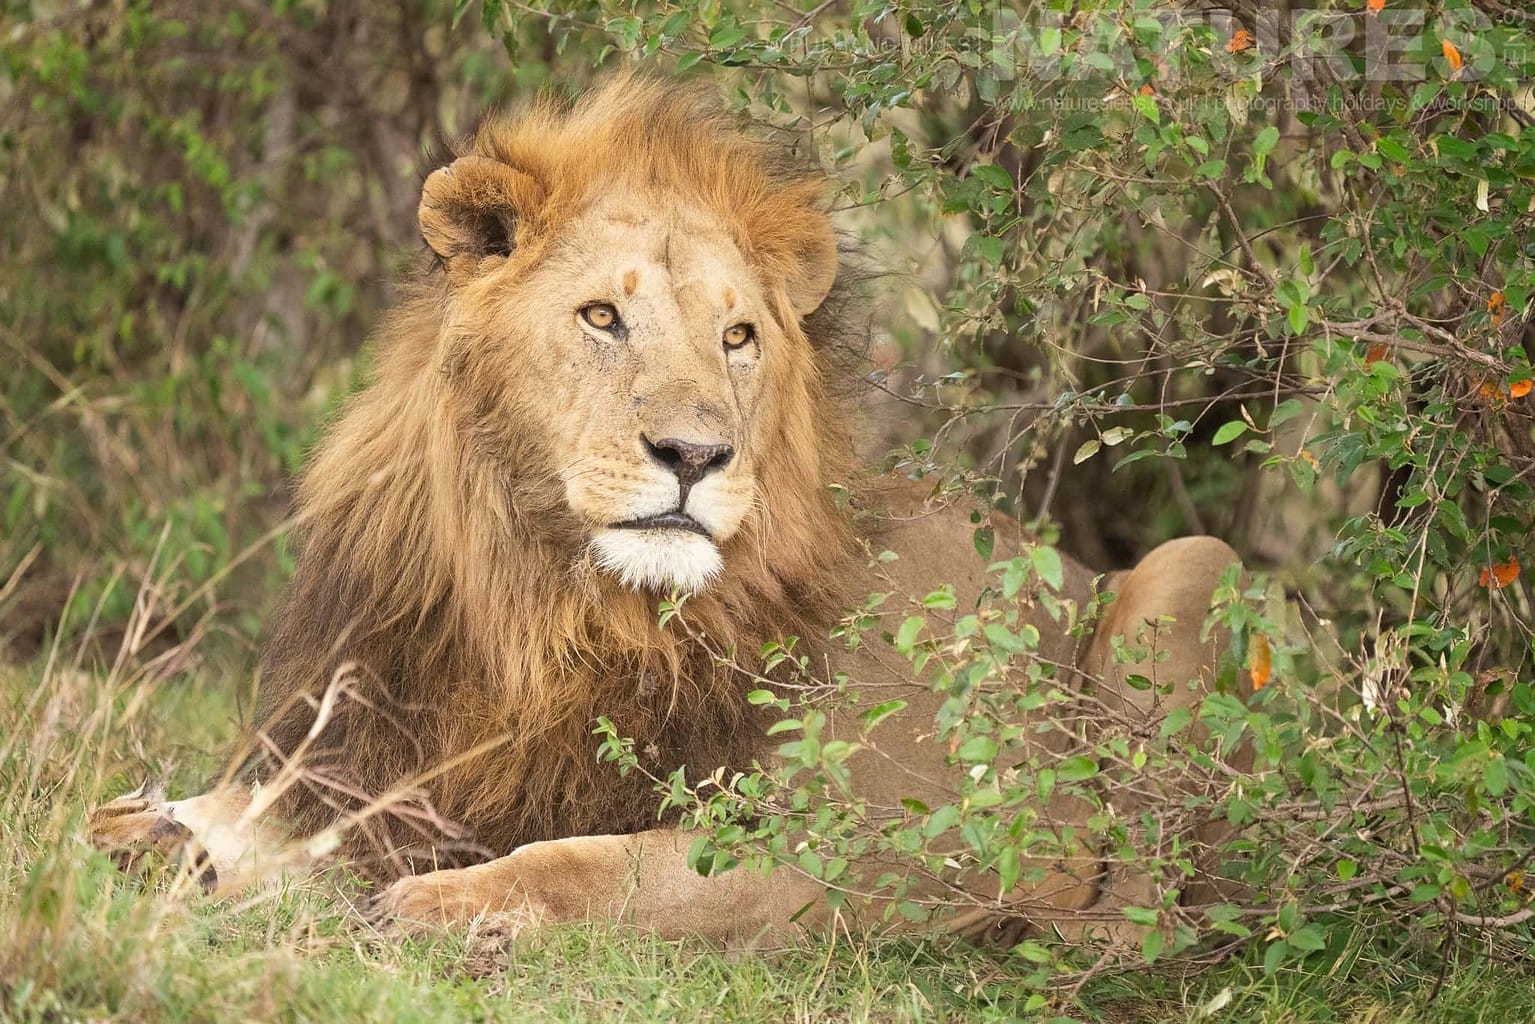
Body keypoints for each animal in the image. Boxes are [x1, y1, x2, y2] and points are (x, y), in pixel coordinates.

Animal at [88, 75, 1246, 948]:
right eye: (603, 317)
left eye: (737, 337)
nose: (695, 455)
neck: (544, 605)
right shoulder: (391, 743)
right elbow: (260, 811)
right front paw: (157, 829)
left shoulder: (835, 843)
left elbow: (602, 868)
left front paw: (451, 904)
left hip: (1189, 570)